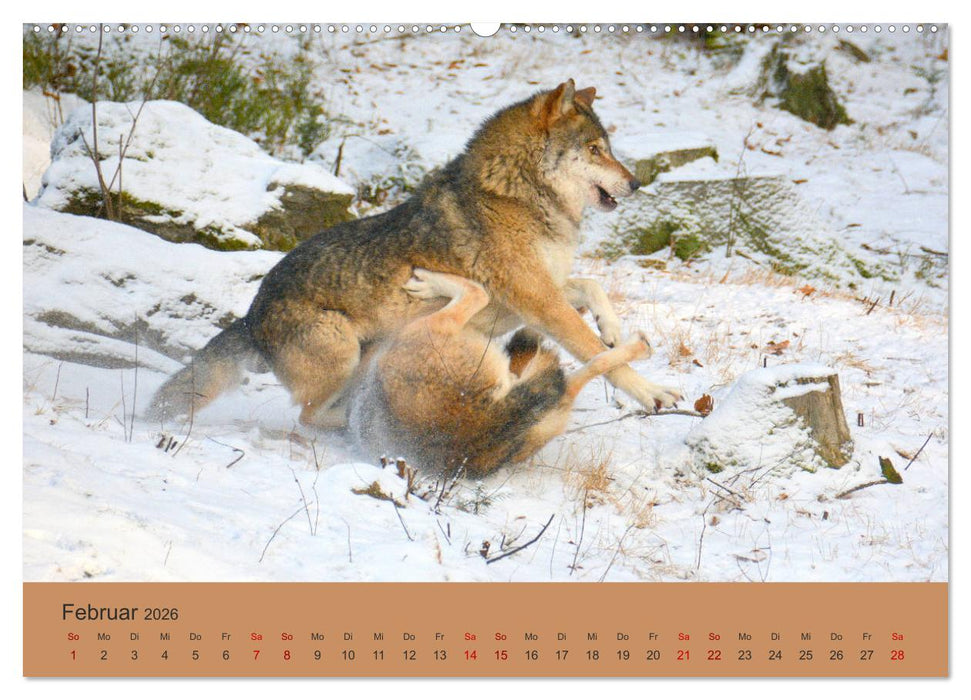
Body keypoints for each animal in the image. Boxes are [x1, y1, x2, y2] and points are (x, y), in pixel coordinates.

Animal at [148, 79, 681, 427]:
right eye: (594, 149)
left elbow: (592, 287)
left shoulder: (541, 293)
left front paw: (612, 329)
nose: (636, 183)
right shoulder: (540, 301)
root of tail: (249, 318)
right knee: (307, 417)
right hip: (342, 353)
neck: (515, 195)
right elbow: (599, 356)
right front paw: (653, 393)